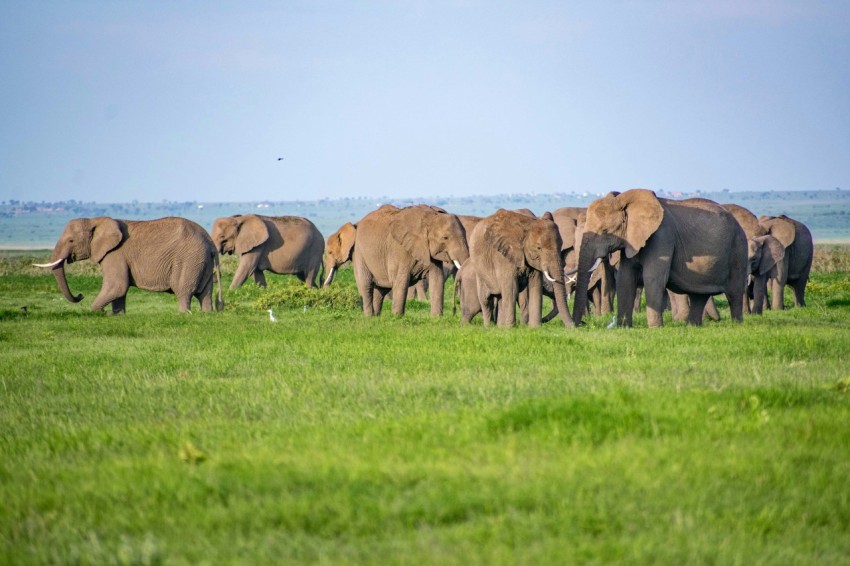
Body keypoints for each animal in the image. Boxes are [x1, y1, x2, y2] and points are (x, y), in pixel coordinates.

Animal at [34, 216, 223, 314]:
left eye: (71, 241)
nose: (80, 295)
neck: (95, 220)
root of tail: (210, 242)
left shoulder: (114, 254)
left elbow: (117, 286)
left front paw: (98, 313)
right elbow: (119, 290)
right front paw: (117, 316)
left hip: (189, 260)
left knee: (184, 291)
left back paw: (183, 315)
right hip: (202, 261)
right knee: (205, 293)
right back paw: (206, 314)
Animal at [573, 189, 748, 327]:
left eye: (605, 231)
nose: (581, 324)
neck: (624, 199)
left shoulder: (662, 237)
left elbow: (653, 278)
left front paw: (655, 329)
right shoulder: (632, 240)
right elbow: (625, 278)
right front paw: (624, 328)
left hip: (738, 247)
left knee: (734, 292)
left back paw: (737, 325)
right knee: (698, 295)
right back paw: (692, 326)